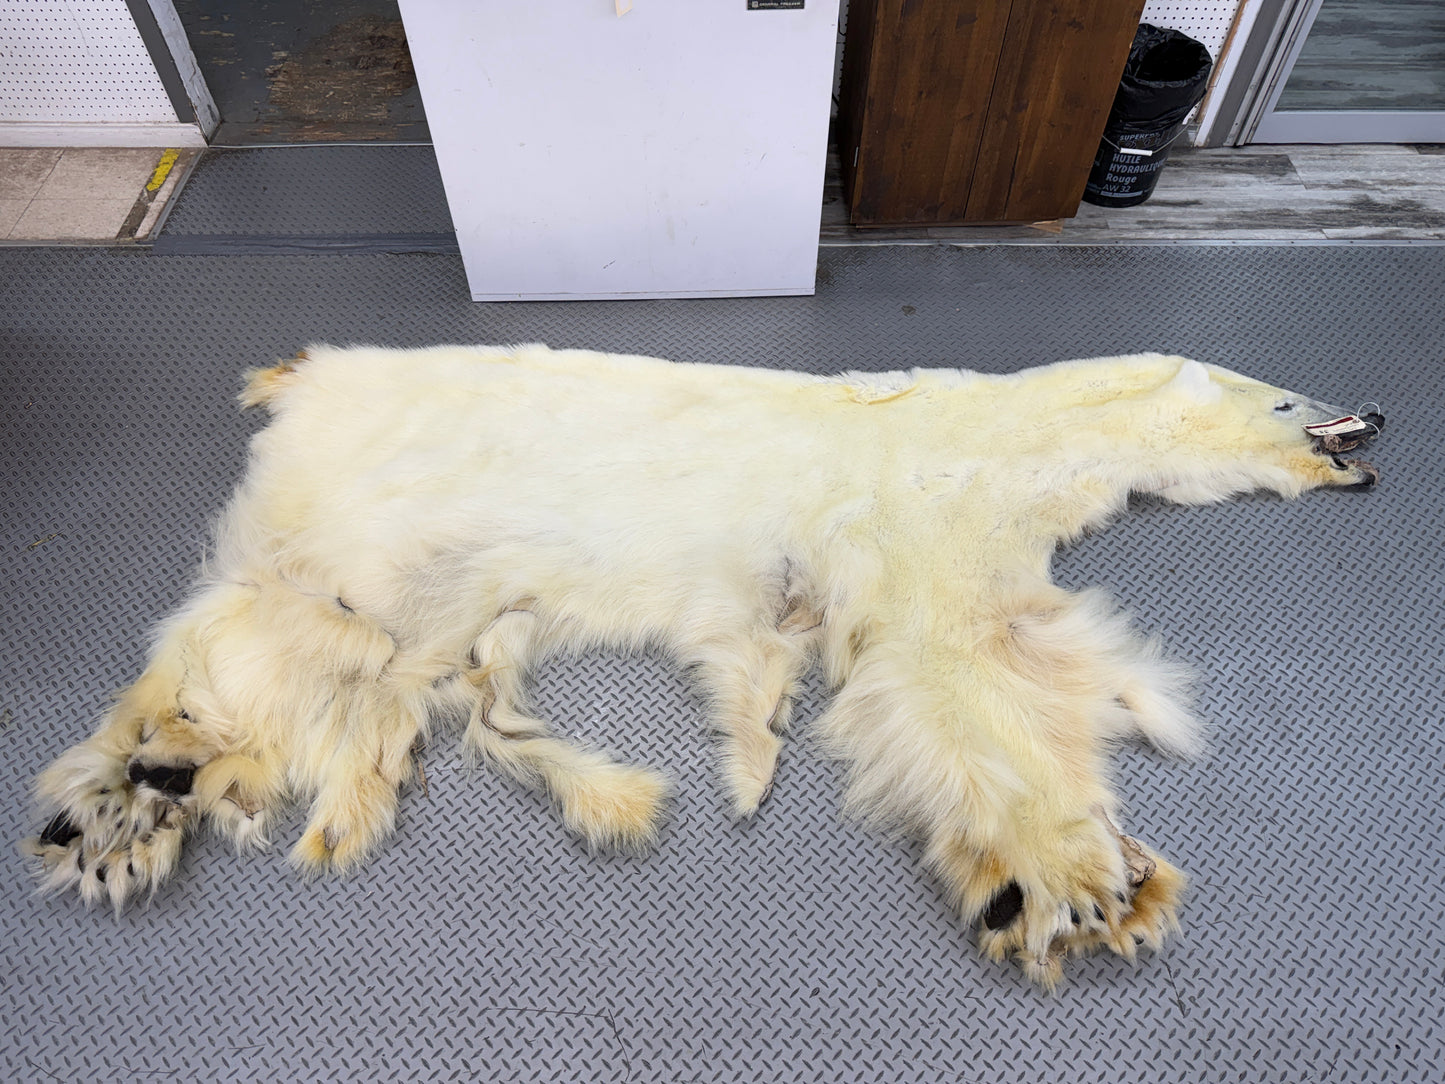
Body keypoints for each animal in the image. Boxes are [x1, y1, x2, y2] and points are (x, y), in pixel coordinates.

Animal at [22, 344, 1383, 988]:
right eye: (1281, 395)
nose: (1370, 417)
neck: (1000, 431)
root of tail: (303, 374)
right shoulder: (922, 513)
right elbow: (953, 666)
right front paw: (1083, 886)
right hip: (362, 516)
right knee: (247, 642)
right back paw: (118, 808)